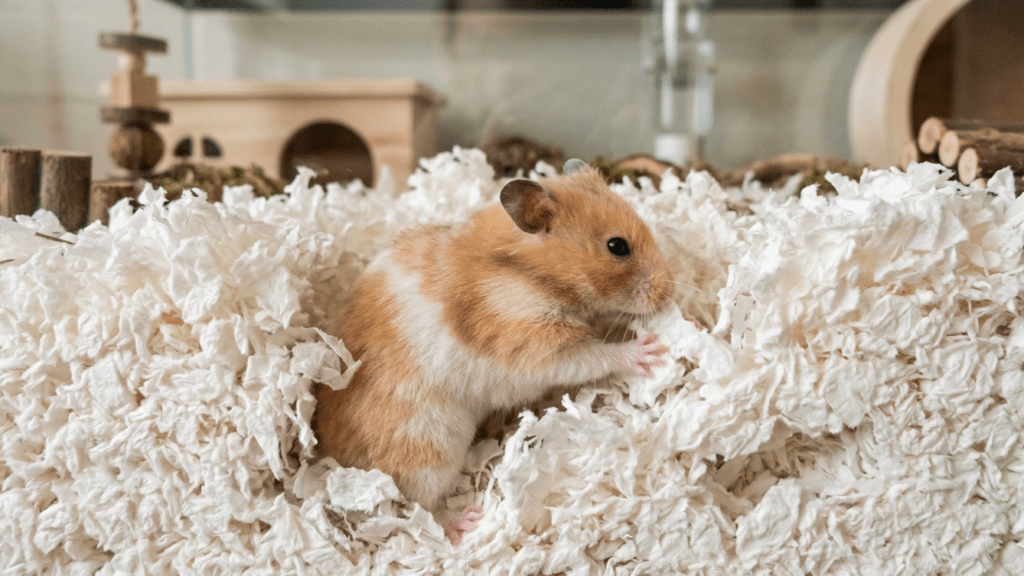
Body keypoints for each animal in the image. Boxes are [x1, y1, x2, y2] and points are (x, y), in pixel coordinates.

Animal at [312, 159, 675, 544]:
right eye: (617, 246)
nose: (669, 291)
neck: (532, 276)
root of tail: (330, 458)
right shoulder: (535, 344)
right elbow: (595, 355)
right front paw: (649, 351)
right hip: (428, 448)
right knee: (421, 505)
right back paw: (468, 522)